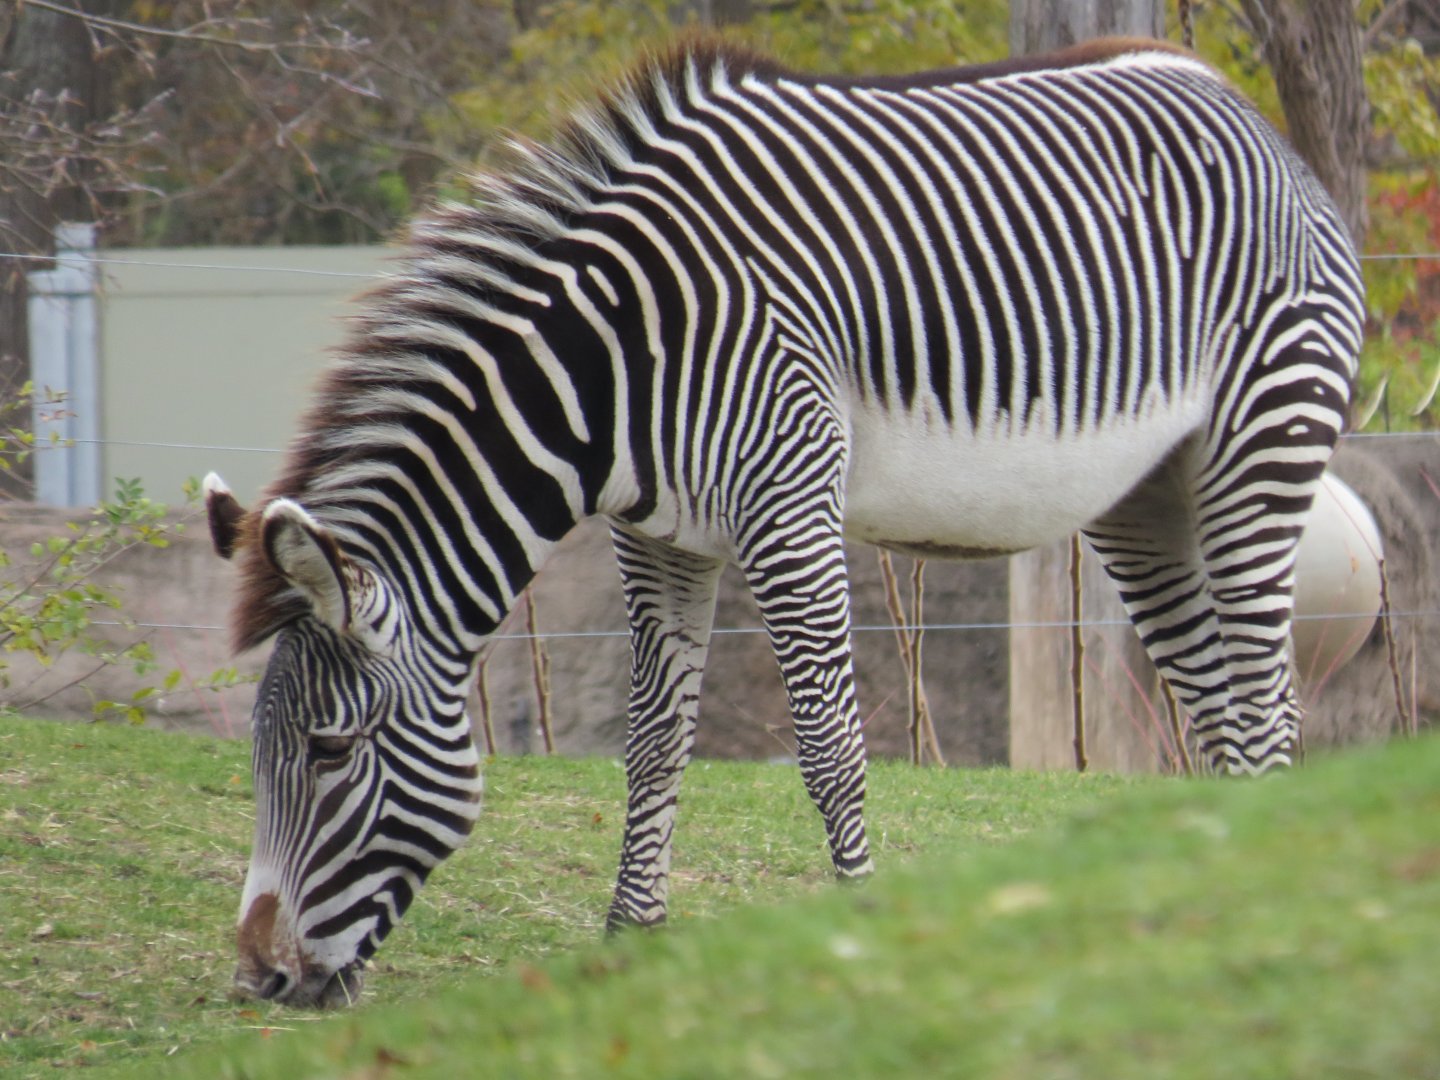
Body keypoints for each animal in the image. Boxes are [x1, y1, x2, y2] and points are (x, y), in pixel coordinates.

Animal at [204, 36, 1364, 1006]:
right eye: (263, 750)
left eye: (329, 752)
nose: (260, 978)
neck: (617, 369)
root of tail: (1242, 107)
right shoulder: (658, 537)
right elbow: (655, 741)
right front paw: (629, 935)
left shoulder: (791, 505)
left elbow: (828, 741)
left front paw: (862, 920)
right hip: (1144, 493)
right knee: (1219, 704)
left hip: (1261, 438)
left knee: (1267, 701)